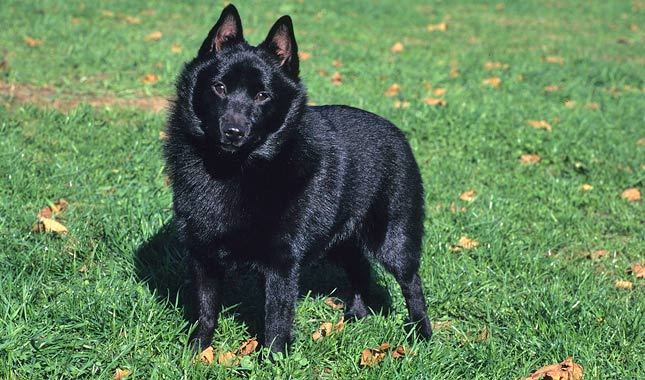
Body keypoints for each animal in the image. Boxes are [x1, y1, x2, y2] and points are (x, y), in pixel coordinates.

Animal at [164, 3, 430, 354]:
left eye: (262, 95)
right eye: (219, 88)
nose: (233, 132)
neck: (235, 170)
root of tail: (398, 133)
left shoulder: (281, 264)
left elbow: (276, 323)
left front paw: (273, 360)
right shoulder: (203, 256)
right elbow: (206, 311)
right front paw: (197, 352)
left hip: (393, 240)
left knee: (412, 284)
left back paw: (422, 333)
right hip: (340, 240)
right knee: (360, 271)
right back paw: (356, 316)